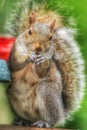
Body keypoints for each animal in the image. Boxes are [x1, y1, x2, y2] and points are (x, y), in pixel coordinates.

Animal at [5, 0, 85, 128]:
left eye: (50, 37)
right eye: (29, 32)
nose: (38, 48)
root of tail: (61, 113)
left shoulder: (49, 61)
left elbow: (41, 72)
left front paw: (41, 60)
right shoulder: (15, 51)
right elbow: (15, 64)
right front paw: (29, 56)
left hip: (46, 92)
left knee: (52, 121)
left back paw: (44, 123)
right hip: (12, 95)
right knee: (30, 119)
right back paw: (22, 121)